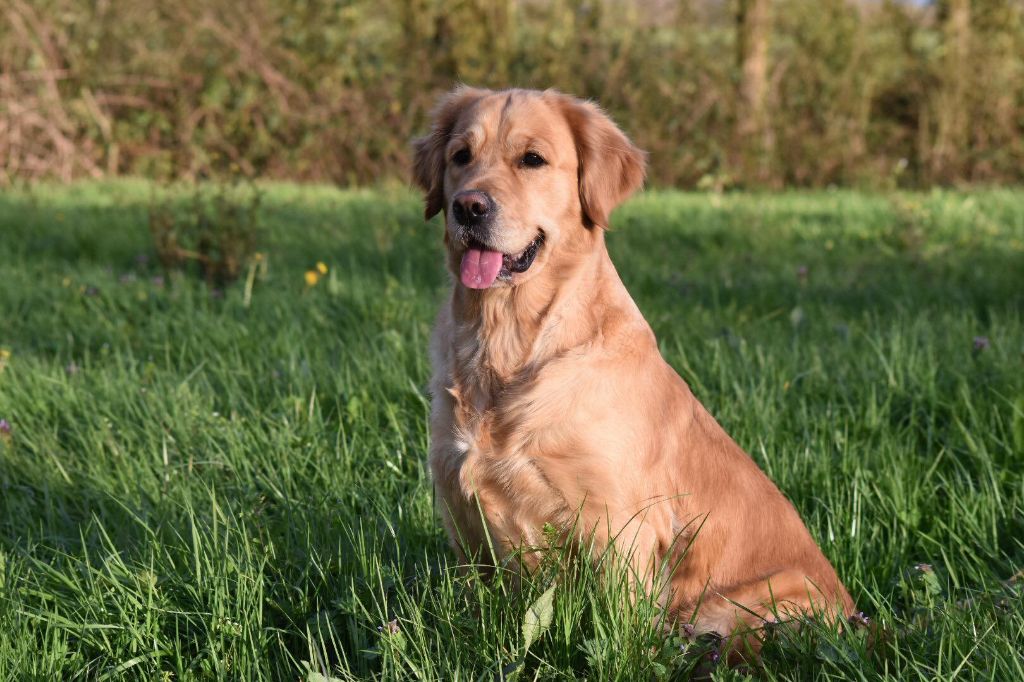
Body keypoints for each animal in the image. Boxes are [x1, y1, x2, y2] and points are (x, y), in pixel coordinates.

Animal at [411, 86, 851, 655]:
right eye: (461, 156)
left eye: (532, 159)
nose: (469, 206)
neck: (505, 340)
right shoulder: (460, 508)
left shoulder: (620, 522)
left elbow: (621, 628)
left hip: (742, 608)